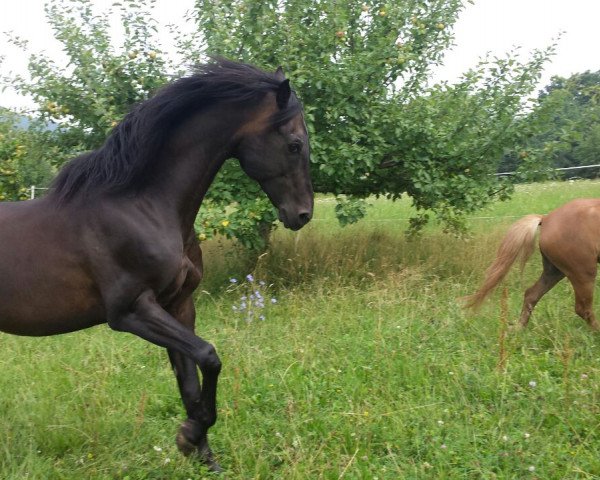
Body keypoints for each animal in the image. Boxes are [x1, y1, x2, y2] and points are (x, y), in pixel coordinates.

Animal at [0, 58, 316, 470]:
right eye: (295, 144)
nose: (303, 214)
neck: (141, 206)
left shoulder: (178, 305)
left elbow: (190, 380)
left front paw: (202, 455)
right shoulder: (132, 311)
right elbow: (209, 357)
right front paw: (190, 435)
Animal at [466, 199, 596, 330]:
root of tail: (545, 218)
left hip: (556, 271)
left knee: (531, 294)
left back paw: (519, 328)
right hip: (582, 272)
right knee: (583, 309)